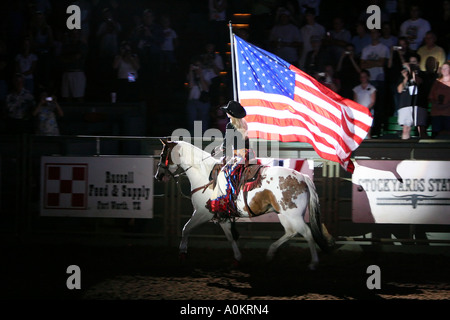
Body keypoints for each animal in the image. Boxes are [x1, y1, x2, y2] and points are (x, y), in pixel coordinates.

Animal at [155, 141, 334, 268]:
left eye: (163, 154)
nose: (158, 176)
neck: (205, 175)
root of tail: (303, 177)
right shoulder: (222, 217)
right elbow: (230, 236)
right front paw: (237, 258)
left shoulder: (203, 212)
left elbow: (186, 228)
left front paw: (182, 253)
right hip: (284, 214)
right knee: (291, 232)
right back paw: (270, 253)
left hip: (293, 215)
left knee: (307, 233)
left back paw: (313, 263)